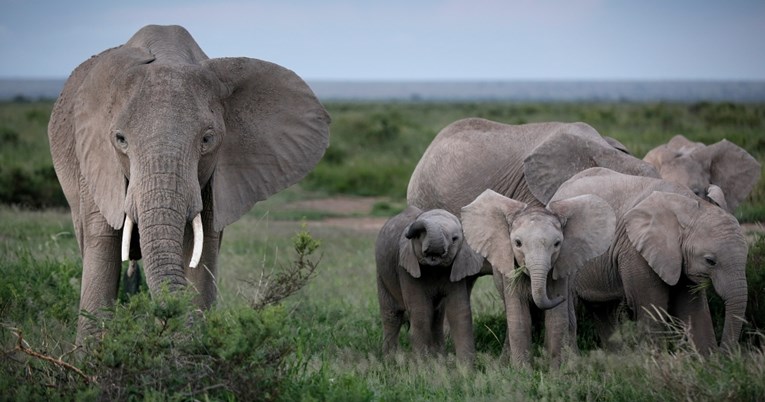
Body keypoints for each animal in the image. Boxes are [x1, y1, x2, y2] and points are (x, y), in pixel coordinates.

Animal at [49, 25, 330, 344]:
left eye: (207, 140)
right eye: (120, 140)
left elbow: (201, 251)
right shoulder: (95, 163)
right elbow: (103, 244)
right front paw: (91, 355)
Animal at [376, 206, 484, 362]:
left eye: (455, 239)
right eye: (419, 236)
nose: (408, 232)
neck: (435, 267)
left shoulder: (456, 268)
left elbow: (458, 311)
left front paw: (465, 368)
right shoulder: (406, 269)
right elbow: (420, 311)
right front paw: (422, 366)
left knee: (437, 316)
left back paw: (439, 359)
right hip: (382, 274)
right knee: (391, 315)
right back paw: (389, 361)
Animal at [544, 168, 752, 354]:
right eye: (710, 261)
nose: (726, 354)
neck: (691, 205)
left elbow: (693, 309)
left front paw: (709, 364)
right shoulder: (635, 251)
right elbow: (651, 307)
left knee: (604, 310)